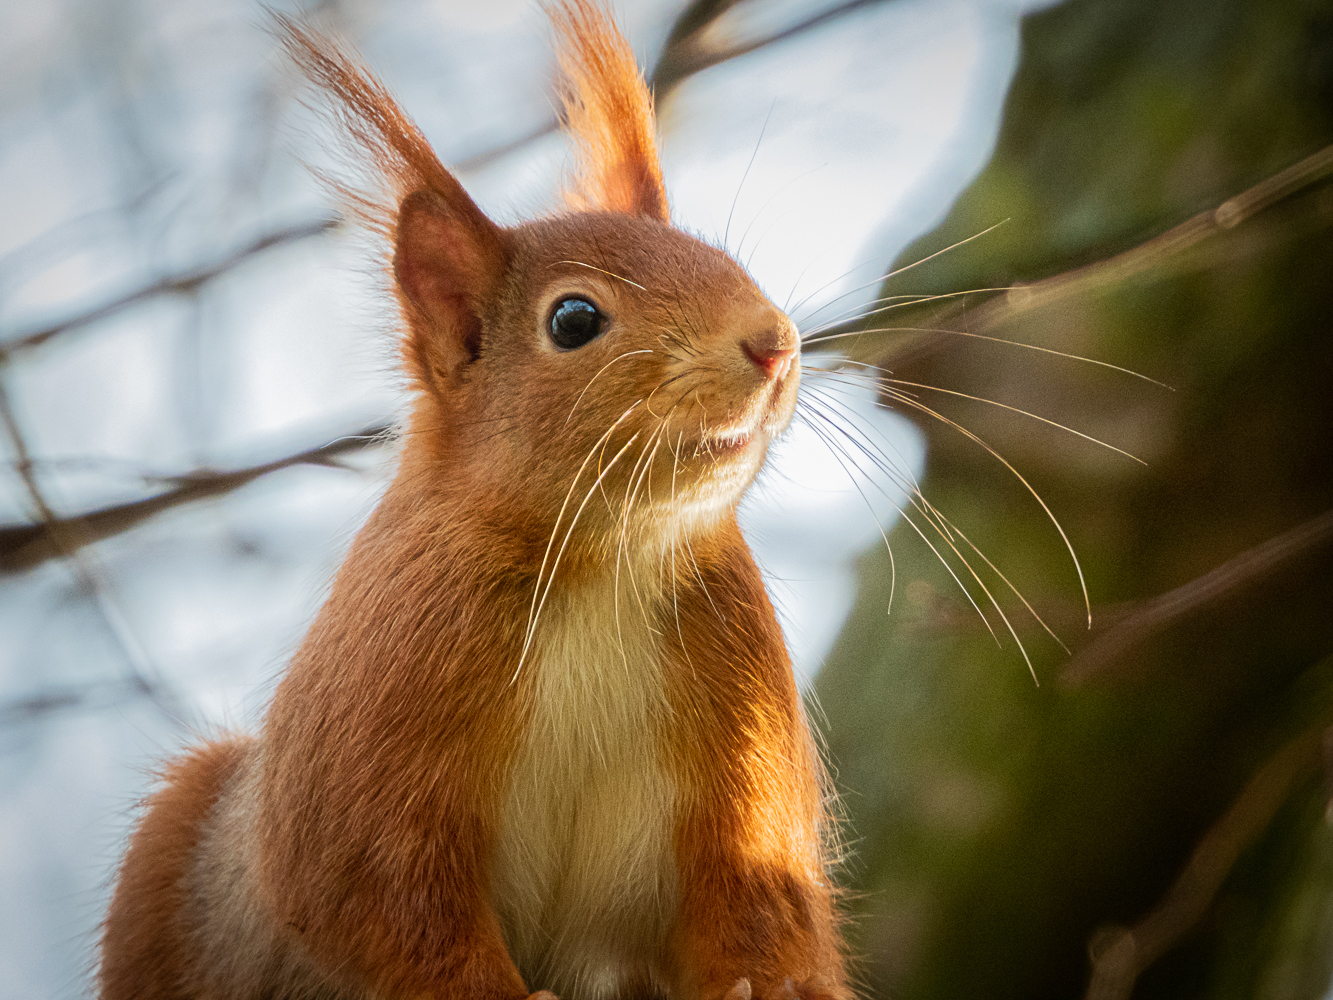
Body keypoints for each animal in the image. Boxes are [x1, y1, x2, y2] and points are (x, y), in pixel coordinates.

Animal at [98, 3, 847, 997]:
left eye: (719, 256)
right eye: (574, 320)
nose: (772, 343)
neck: (602, 562)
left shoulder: (740, 731)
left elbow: (758, 901)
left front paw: (771, 982)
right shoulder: (384, 704)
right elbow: (383, 903)